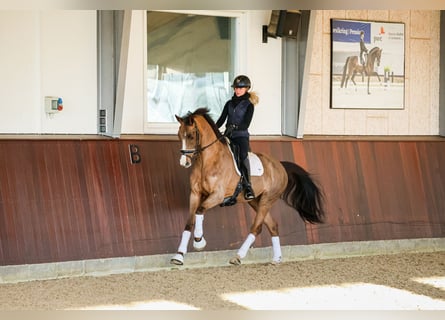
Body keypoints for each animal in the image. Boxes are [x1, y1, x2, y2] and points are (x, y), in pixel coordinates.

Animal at [170, 107, 322, 264]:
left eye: (191, 136)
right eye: (179, 136)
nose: (184, 162)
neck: (208, 161)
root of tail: (280, 165)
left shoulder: (217, 195)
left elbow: (200, 211)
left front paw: (199, 241)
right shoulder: (195, 194)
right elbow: (189, 222)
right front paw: (179, 256)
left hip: (268, 199)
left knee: (256, 228)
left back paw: (238, 256)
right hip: (255, 201)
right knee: (272, 225)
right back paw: (276, 259)